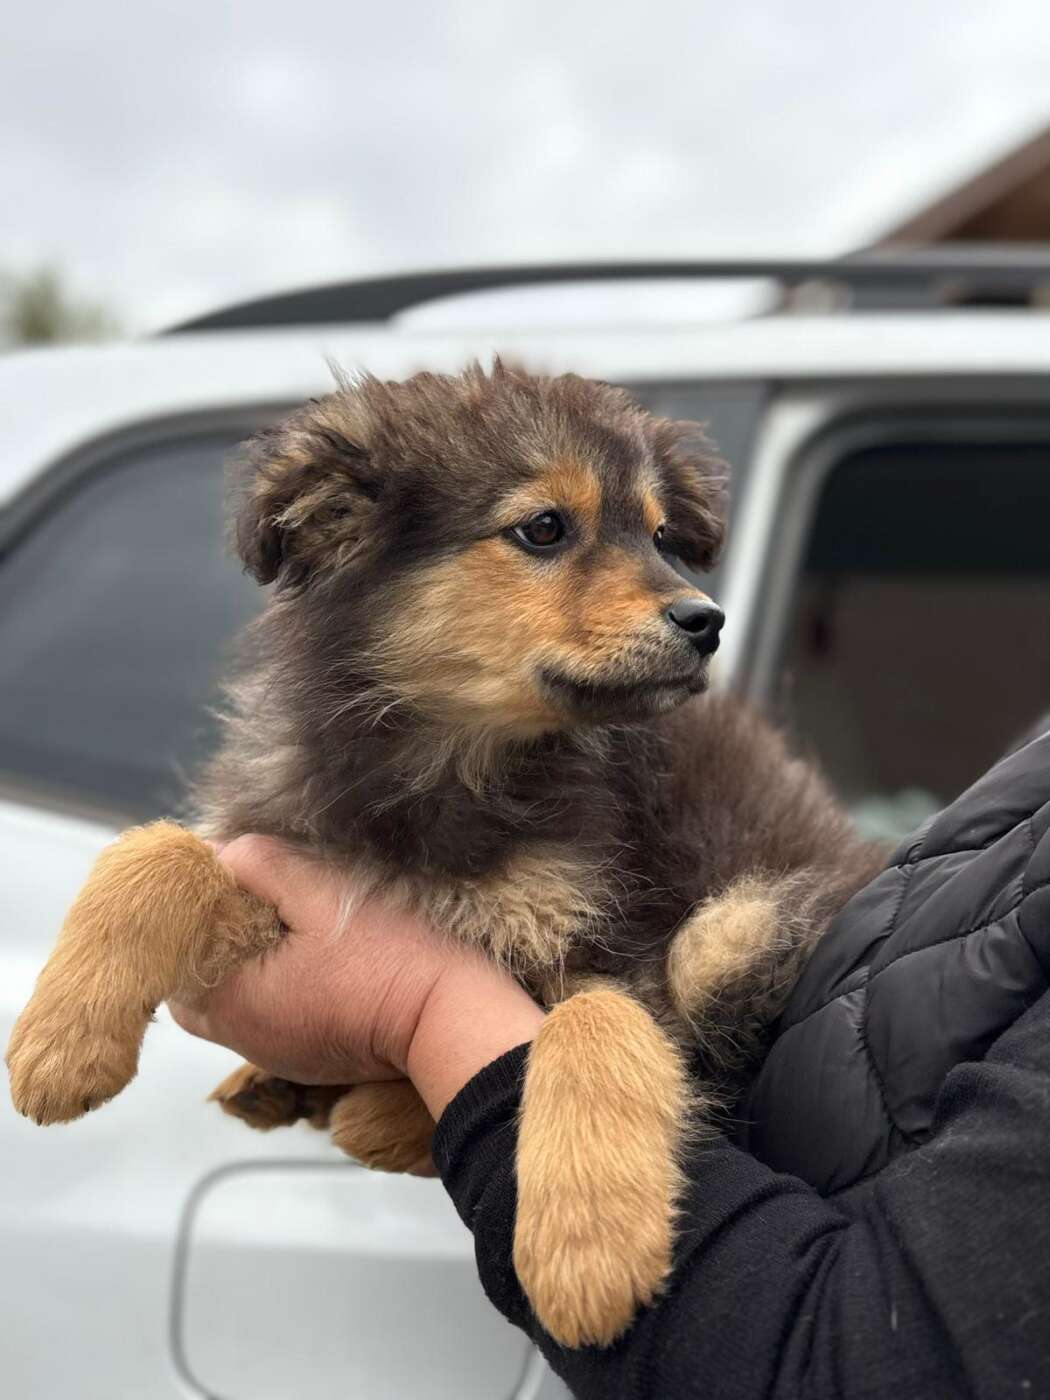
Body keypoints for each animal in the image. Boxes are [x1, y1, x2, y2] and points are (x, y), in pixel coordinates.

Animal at [7, 360, 881, 1347]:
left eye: (661, 535)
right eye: (544, 528)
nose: (707, 621)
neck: (447, 765)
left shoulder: (625, 936)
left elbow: (595, 1019)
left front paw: (588, 1242)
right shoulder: (303, 862)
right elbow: (161, 852)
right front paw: (61, 1042)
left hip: (742, 922)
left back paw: (373, 1116)